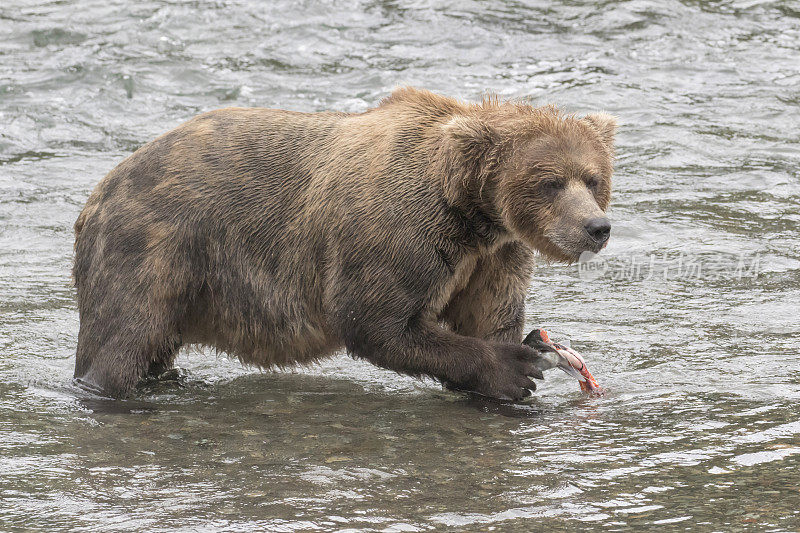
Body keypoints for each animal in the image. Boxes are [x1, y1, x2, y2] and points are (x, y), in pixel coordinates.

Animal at [72, 88, 616, 400]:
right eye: (550, 182)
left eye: (593, 178)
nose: (597, 226)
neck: (470, 209)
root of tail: (98, 192)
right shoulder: (401, 231)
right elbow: (377, 322)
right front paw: (513, 369)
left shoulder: (492, 255)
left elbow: (489, 313)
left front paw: (521, 353)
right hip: (155, 246)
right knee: (124, 338)